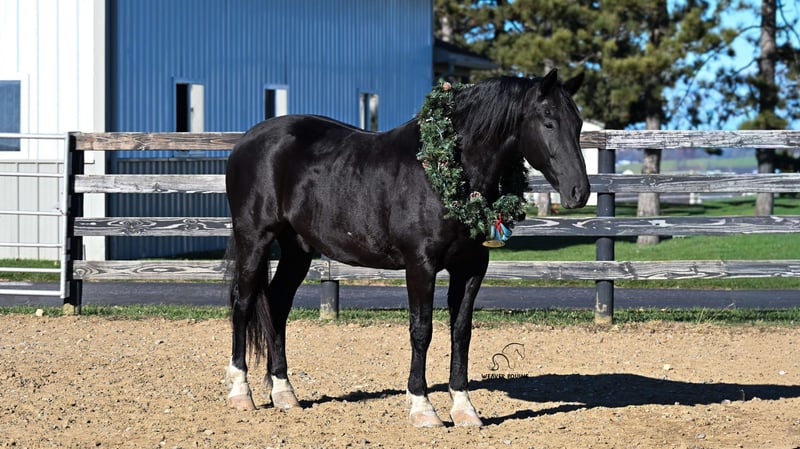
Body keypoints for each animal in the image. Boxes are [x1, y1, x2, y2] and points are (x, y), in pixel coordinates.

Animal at [223, 68, 589, 428]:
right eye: (548, 121)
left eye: (578, 123)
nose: (579, 192)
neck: (443, 170)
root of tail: (246, 141)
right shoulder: (420, 265)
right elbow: (421, 330)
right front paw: (423, 408)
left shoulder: (471, 267)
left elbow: (461, 332)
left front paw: (464, 409)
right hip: (254, 239)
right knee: (243, 304)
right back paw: (241, 393)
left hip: (297, 248)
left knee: (277, 304)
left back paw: (284, 393)